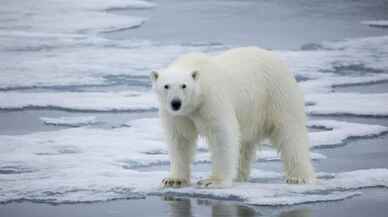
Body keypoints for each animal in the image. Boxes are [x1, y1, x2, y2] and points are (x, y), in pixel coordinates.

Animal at [150, 46, 316, 188]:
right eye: (166, 86)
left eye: (184, 85)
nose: (175, 103)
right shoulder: (178, 116)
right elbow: (180, 140)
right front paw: (173, 180)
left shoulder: (212, 100)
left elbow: (221, 135)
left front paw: (213, 181)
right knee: (244, 144)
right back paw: (238, 175)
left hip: (276, 95)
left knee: (290, 133)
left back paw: (298, 177)